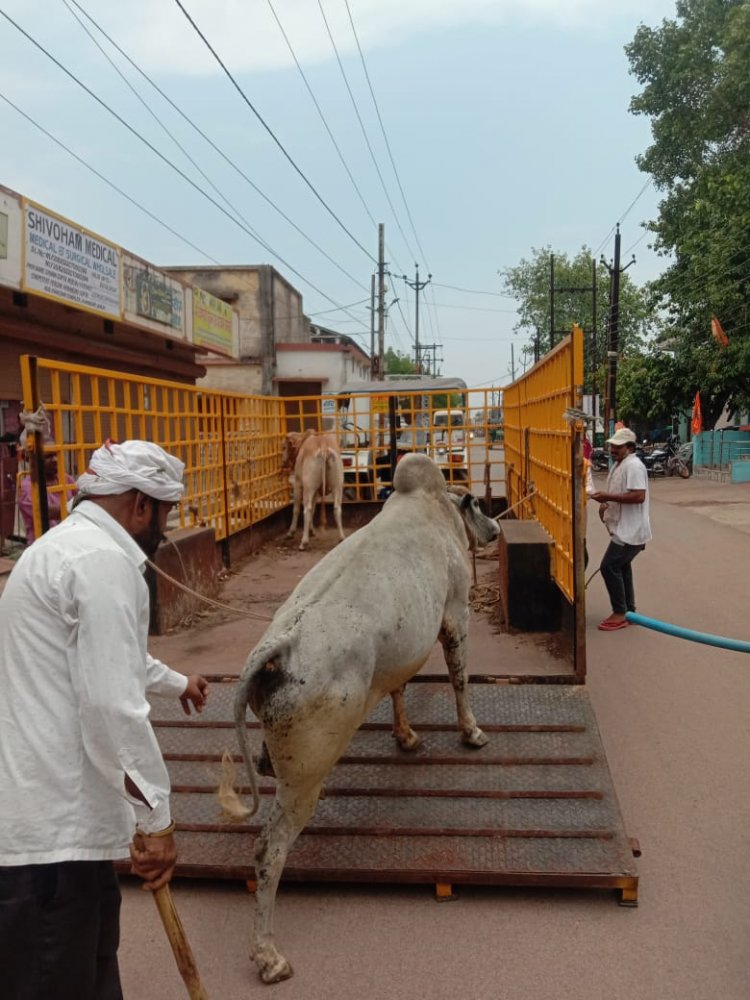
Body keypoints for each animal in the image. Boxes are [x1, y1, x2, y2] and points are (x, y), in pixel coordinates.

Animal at [220, 454, 500, 984]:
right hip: (303, 780)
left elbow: (399, 686)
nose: (495, 528)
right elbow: (459, 677)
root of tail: (279, 648)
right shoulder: (456, 614)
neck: (431, 511)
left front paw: (406, 736)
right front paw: (472, 731)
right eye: (475, 505)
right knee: (269, 851)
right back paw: (268, 956)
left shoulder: (400, 653)